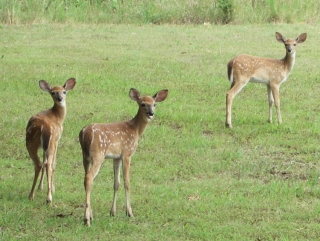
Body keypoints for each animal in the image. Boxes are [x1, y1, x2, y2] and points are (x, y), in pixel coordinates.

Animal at [79, 88, 169, 226]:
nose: (151, 113)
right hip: (98, 154)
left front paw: (112, 212)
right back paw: (87, 219)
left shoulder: (116, 157)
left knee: (86, 178)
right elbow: (127, 182)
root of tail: (84, 132)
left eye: (154, 104)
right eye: (143, 104)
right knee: (89, 178)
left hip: (85, 156)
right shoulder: (127, 153)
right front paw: (129, 212)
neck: (136, 130)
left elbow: (116, 183)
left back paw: (91, 215)